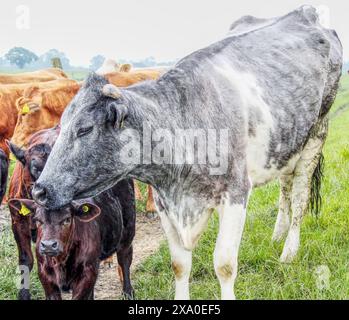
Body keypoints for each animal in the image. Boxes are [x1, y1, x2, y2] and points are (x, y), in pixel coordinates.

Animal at [34, 6, 342, 298]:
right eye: (60, 125)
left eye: (84, 129)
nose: (40, 190)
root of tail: (304, 13)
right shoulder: (165, 203)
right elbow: (179, 265)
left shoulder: (235, 194)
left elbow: (225, 264)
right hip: (286, 143)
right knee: (285, 186)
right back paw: (277, 235)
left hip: (316, 135)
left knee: (300, 196)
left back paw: (288, 251)